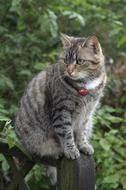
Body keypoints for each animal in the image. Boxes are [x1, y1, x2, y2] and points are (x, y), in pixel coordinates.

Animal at [14, 33, 106, 185]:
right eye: (65, 60)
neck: (85, 86)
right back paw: (58, 152)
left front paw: (83, 145)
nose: (69, 70)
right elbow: (66, 133)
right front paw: (71, 150)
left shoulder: (87, 114)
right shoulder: (61, 111)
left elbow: (81, 132)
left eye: (80, 61)